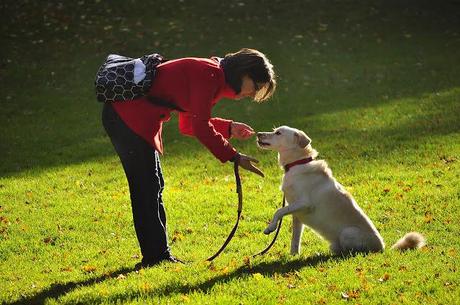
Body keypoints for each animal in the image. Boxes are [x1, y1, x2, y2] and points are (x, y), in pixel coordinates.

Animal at [255, 126, 424, 254]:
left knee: (354, 251)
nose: (258, 134)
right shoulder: (296, 213)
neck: (297, 163)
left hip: (348, 233)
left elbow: (278, 211)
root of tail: (383, 248)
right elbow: (295, 238)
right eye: (274, 130)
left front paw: (270, 228)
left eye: (278, 133)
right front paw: (293, 255)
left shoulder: (304, 203)